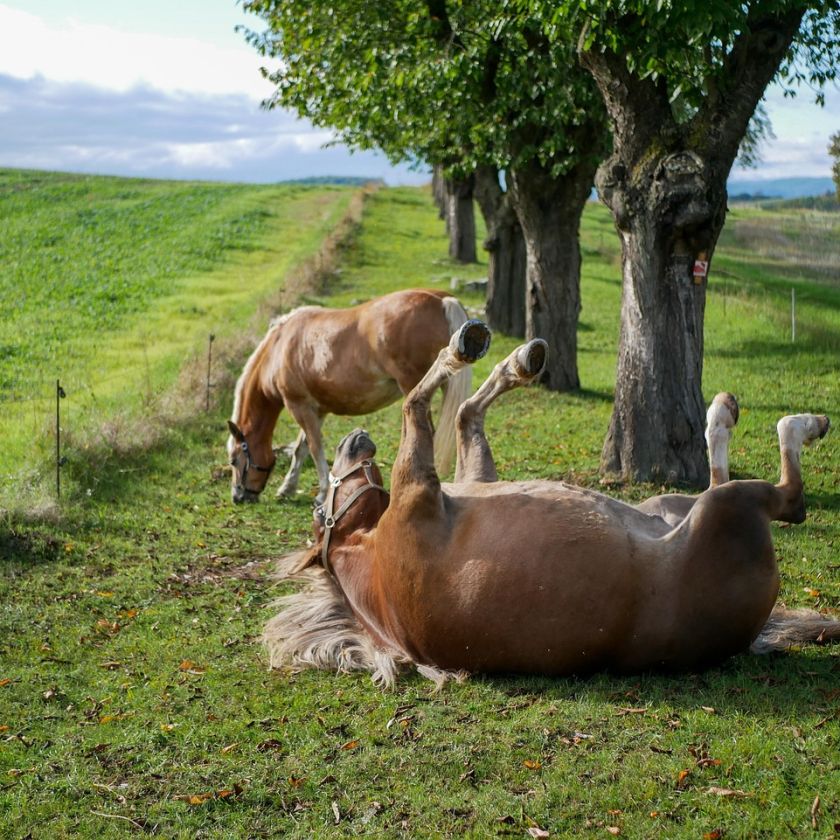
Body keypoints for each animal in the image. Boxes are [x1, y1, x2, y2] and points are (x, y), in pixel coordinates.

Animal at [226, 289, 471, 504]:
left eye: (234, 460)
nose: (238, 497)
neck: (280, 347)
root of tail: (442, 300)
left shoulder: (298, 406)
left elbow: (315, 448)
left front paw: (322, 494)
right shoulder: (316, 410)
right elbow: (301, 448)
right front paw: (287, 488)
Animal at [264, 321, 838, 685]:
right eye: (319, 507)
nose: (352, 439)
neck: (378, 569)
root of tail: (749, 632)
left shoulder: (462, 481)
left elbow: (465, 415)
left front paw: (517, 361)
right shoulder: (419, 489)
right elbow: (416, 402)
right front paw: (461, 347)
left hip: (672, 504)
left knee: (719, 472)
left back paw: (722, 412)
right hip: (724, 512)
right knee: (788, 498)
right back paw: (802, 424)